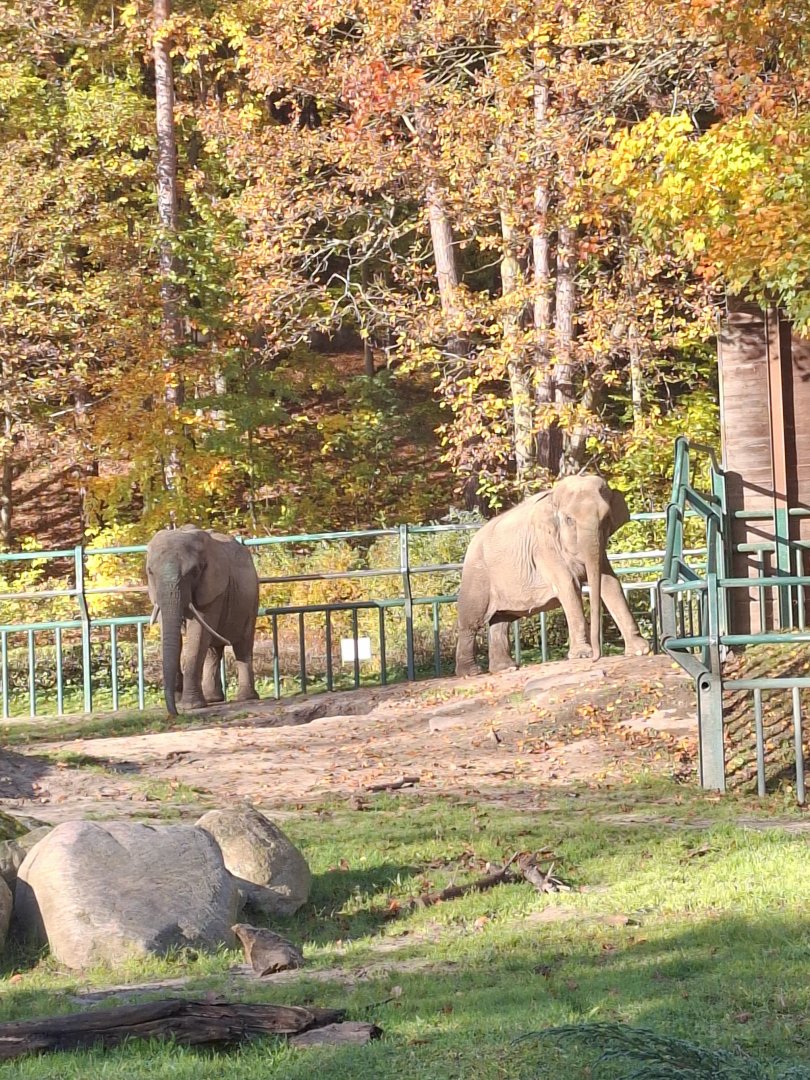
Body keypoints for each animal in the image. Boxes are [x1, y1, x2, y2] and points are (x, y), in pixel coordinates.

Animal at [146, 525, 260, 715]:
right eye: (150, 572)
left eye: (193, 572)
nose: (175, 713)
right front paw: (180, 700)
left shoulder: (213, 589)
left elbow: (197, 635)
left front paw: (190, 706)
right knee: (212, 650)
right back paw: (213, 699)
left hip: (251, 601)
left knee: (242, 646)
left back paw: (246, 698)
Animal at [454, 475, 651, 676]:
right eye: (569, 519)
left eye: (606, 519)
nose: (597, 658)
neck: (553, 498)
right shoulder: (544, 545)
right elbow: (569, 585)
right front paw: (582, 655)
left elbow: (609, 582)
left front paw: (640, 651)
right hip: (477, 573)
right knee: (472, 621)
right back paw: (471, 672)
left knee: (502, 620)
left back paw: (505, 668)